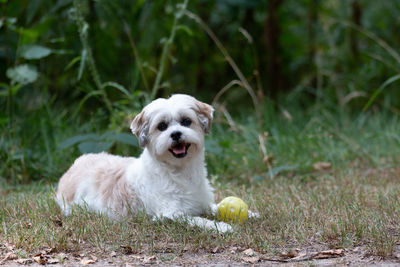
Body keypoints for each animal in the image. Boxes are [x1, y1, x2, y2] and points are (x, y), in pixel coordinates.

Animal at [56, 95, 256, 233]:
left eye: (186, 121)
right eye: (162, 126)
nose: (175, 134)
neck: (181, 173)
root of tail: (72, 167)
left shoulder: (203, 202)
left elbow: (216, 207)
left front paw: (249, 214)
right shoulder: (171, 214)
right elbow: (199, 220)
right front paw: (221, 227)